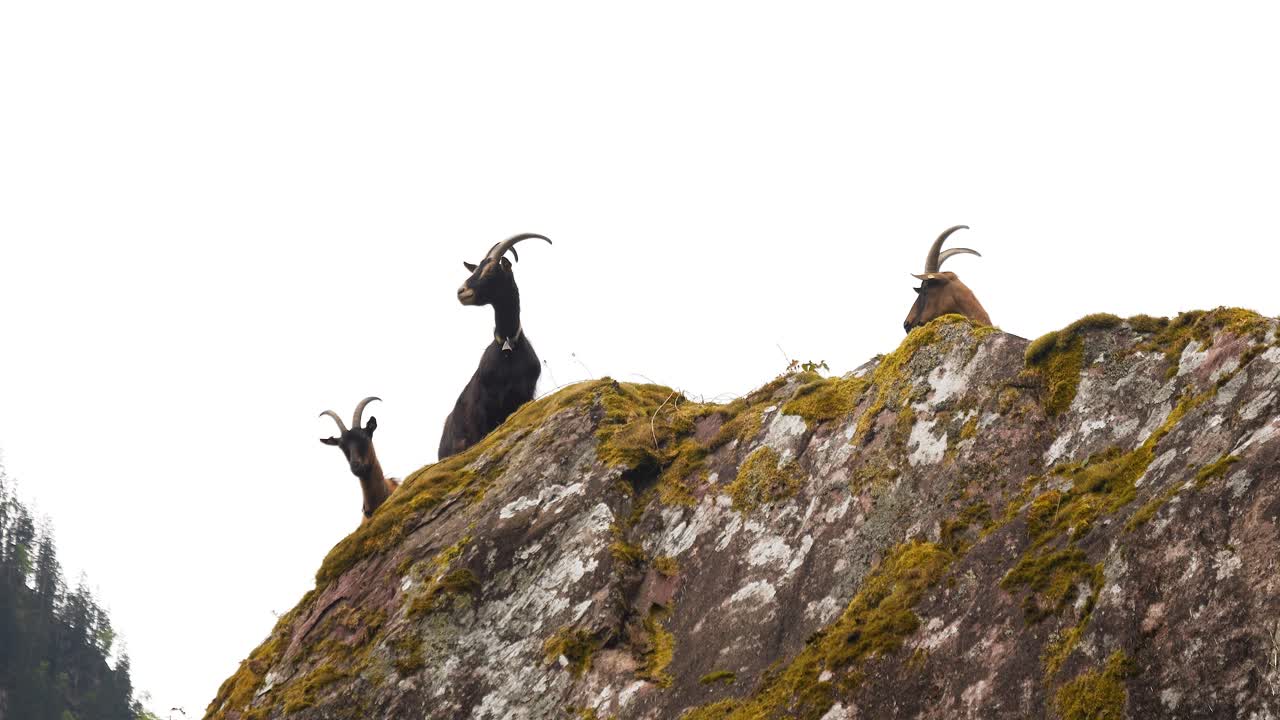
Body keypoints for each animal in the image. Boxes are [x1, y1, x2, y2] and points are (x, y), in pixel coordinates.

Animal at [439, 233, 552, 459]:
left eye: (491, 270)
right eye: (476, 269)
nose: (461, 291)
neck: (508, 347)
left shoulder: (524, 395)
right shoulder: (484, 409)